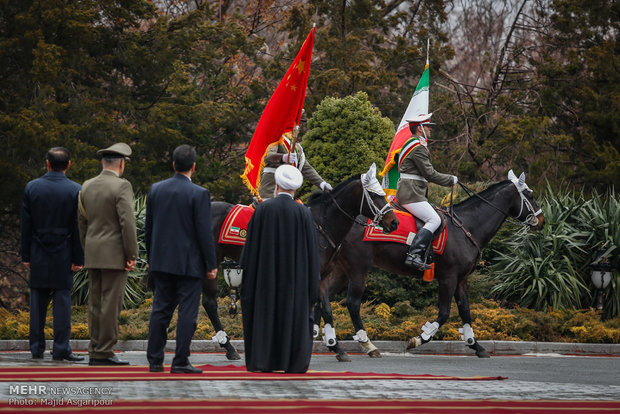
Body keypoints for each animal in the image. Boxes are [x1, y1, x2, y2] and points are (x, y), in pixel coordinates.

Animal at [201, 165, 400, 360]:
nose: (394, 222)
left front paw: (335, 346)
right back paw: (228, 346)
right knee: (210, 302)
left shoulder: (323, 275)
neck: (322, 226)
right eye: (374, 195)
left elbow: (327, 310)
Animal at [318, 170, 544, 360]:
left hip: (341, 271)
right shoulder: (448, 278)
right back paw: (367, 345)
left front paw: (475, 345)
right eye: (530, 195)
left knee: (324, 299)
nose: (542, 220)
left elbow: (466, 311)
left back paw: (331, 342)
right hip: (358, 269)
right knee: (352, 303)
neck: (466, 226)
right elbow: (444, 313)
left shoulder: (461, 280)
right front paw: (419, 339)